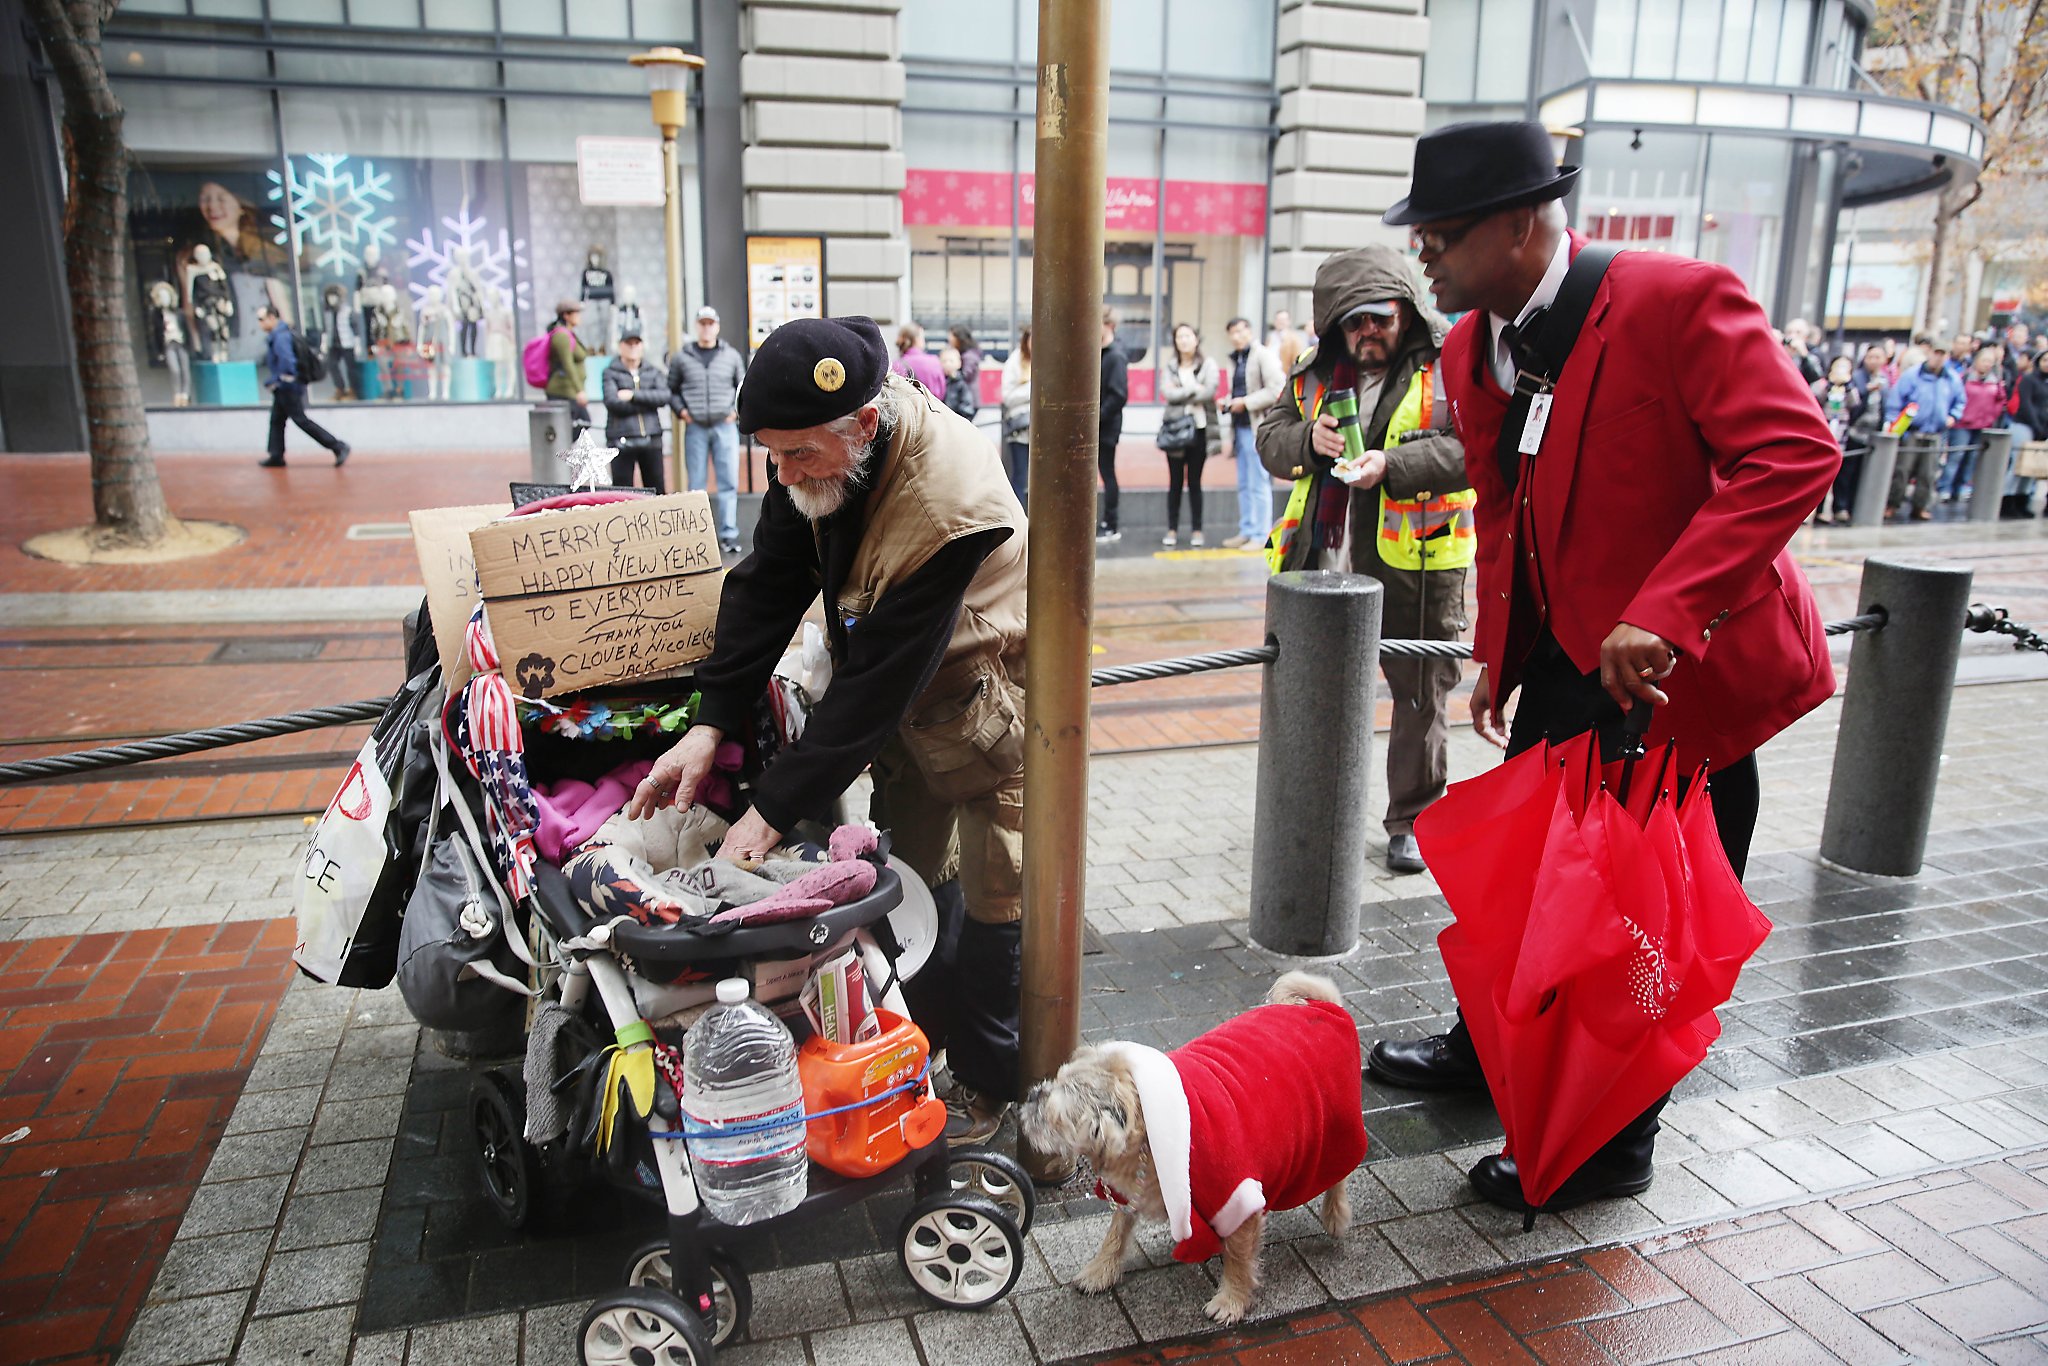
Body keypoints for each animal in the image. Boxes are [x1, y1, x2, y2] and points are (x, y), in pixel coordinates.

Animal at [1015, 970, 1368, 1327]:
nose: (1032, 1094)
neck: (1145, 1140)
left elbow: (1240, 1256)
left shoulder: (1237, 1196)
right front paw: (1101, 1270)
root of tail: (1325, 1006)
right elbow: (1116, 1233)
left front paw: (1232, 1298)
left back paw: (1335, 1214)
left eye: (1051, 1109)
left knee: (1338, 1175)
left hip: (1334, 1131)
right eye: (1051, 1083)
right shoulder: (1129, 1194)